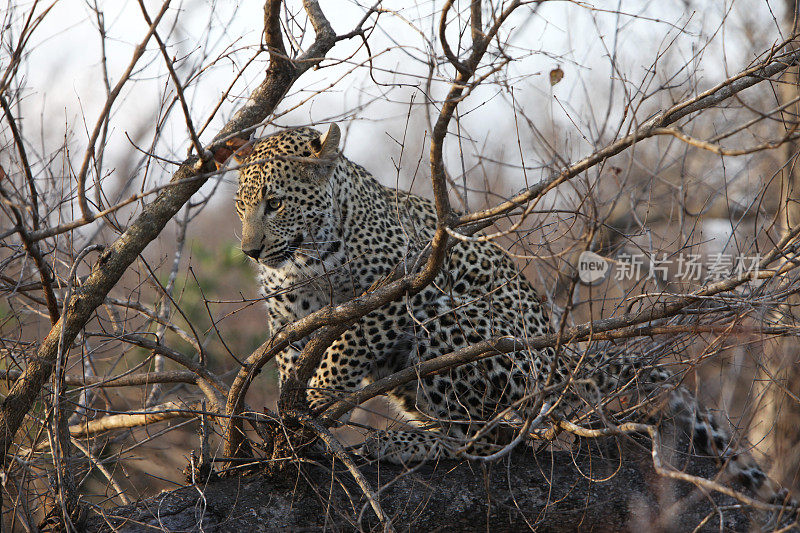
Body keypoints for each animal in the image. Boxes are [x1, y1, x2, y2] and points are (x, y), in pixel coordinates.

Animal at [231, 121, 792, 516]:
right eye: (240, 207)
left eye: (274, 203)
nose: (251, 251)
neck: (308, 257)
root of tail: (558, 352)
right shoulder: (288, 316)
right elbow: (292, 360)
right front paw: (289, 427)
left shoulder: (402, 288)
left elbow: (345, 343)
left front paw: (319, 396)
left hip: (455, 325)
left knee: (484, 436)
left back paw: (406, 441)